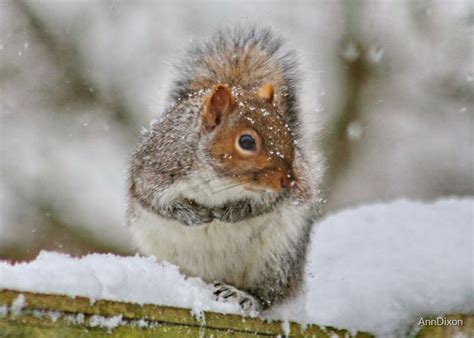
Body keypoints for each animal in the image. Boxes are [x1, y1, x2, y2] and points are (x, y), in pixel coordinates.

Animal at [128, 26, 324, 312]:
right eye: (246, 142)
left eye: (288, 134)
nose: (290, 181)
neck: (217, 179)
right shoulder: (155, 170)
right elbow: (155, 200)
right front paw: (193, 215)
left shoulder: (271, 195)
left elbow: (263, 204)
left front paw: (229, 212)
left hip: (278, 258)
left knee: (269, 295)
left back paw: (242, 296)